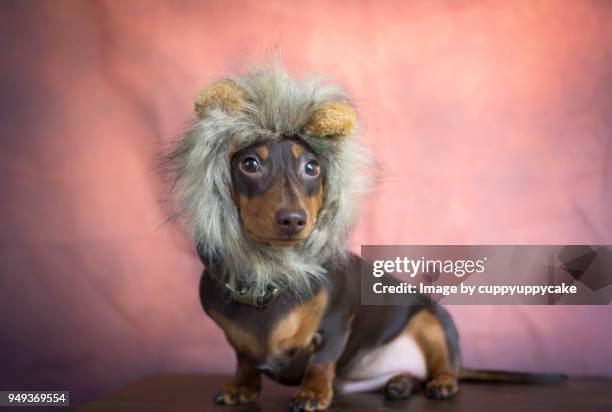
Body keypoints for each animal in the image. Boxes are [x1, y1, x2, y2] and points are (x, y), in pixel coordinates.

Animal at [165, 62, 560, 410]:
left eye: (312, 168)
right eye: (249, 164)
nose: (294, 220)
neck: (272, 274)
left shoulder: (335, 325)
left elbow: (321, 361)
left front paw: (312, 393)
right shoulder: (238, 341)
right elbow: (245, 360)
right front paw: (242, 388)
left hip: (433, 321)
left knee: (443, 366)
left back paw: (442, 381)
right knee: (407, 378)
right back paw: (400, 383)